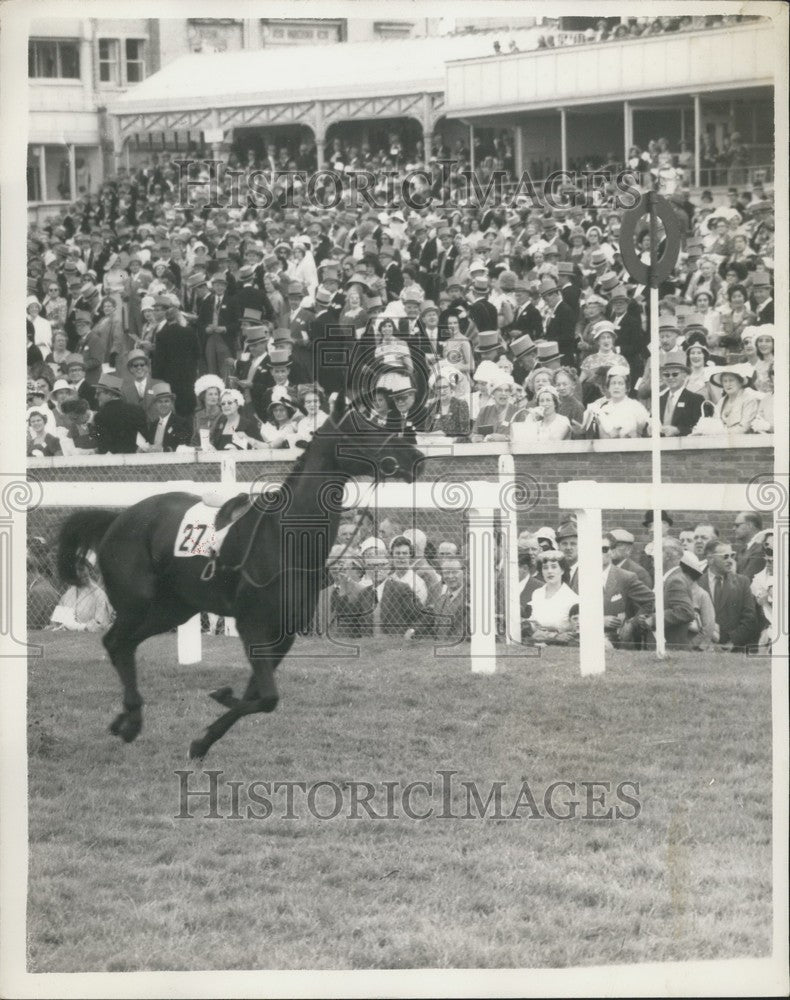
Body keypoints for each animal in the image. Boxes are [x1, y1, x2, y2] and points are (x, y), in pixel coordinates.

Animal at [58, 392, 424, 756]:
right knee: (115, 642)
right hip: (138, 604)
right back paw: (131, 719)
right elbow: (268, 697)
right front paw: (214, 715)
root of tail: (117, 519)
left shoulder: (284, 633)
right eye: (364, 429)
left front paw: (208, 730)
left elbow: (257, 694)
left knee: (124, 645)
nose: (417, 458)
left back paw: (126, 719)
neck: (285, 537)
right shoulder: (253, 625)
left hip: (171, 609)